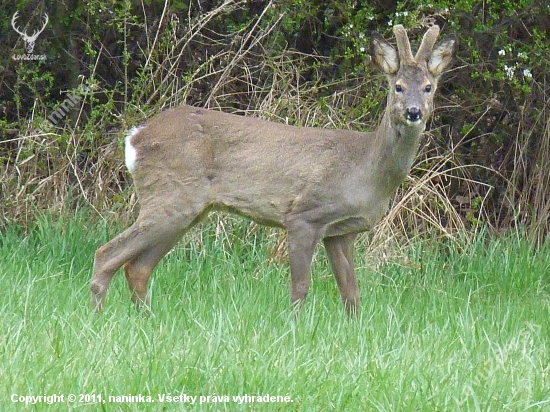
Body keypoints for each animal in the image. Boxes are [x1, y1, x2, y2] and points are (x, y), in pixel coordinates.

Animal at [92, 25, 460, 316]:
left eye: (429, 87)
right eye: (397, 86)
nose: (413, 112)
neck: (365, 169)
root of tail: (135, 137)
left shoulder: (340, 231)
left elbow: (351, 293)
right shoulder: (304, 215)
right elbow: (300, 288)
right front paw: (296, 331)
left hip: (186, 208)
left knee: (137, 267)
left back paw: (147, 320)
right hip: (170, 196)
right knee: (106, 254)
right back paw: (98, 320)